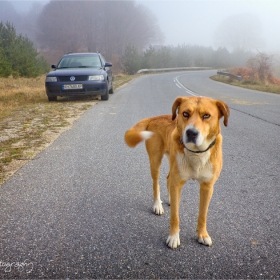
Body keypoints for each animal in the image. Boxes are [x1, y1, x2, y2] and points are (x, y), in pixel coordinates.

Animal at [124, 96, 230, 249]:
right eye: (185, 113)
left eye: (206, 116)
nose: (191, 133)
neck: (196, 153)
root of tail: (154, 118)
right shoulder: (177, 183)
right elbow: (175, 216)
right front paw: (173, 237)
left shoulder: (207, 187)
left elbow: (203, 215)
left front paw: (202, 235)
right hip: (155, 162)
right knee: (156, 184)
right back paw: (157, 205)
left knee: (168, 178)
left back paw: (168, 199)